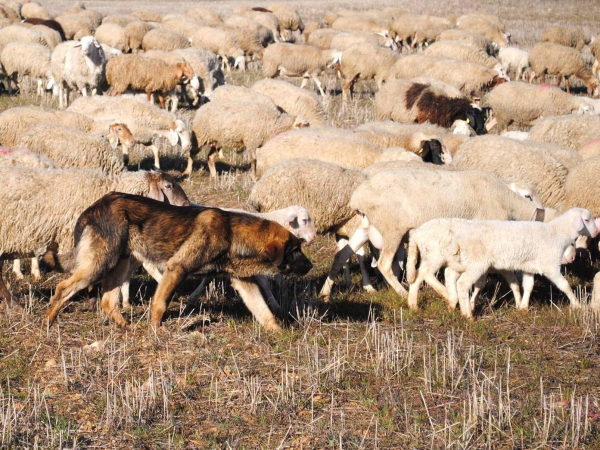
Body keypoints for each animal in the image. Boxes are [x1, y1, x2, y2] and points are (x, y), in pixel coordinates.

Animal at [41, 192, 314, 332]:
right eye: (295, 251)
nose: (311, 266)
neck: (232, 233)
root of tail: (94, 207)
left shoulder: (245, 283)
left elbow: (264, 312)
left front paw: (280, 333)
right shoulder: (176, 269)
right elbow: (160, 304)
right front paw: (156, 331)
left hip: (120, 262)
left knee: (108, 301)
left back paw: (125, 327)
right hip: (102, 263)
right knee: (63, 288)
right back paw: (49, 321)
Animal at [318, 167, 544, 300]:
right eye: (528, 196)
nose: (540, 215)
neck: (504, 199)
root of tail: (359, 196)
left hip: (366, 227)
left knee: (341, 256)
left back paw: (325, 292)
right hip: (392, 229)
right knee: (383, 264)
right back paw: (404, 293)